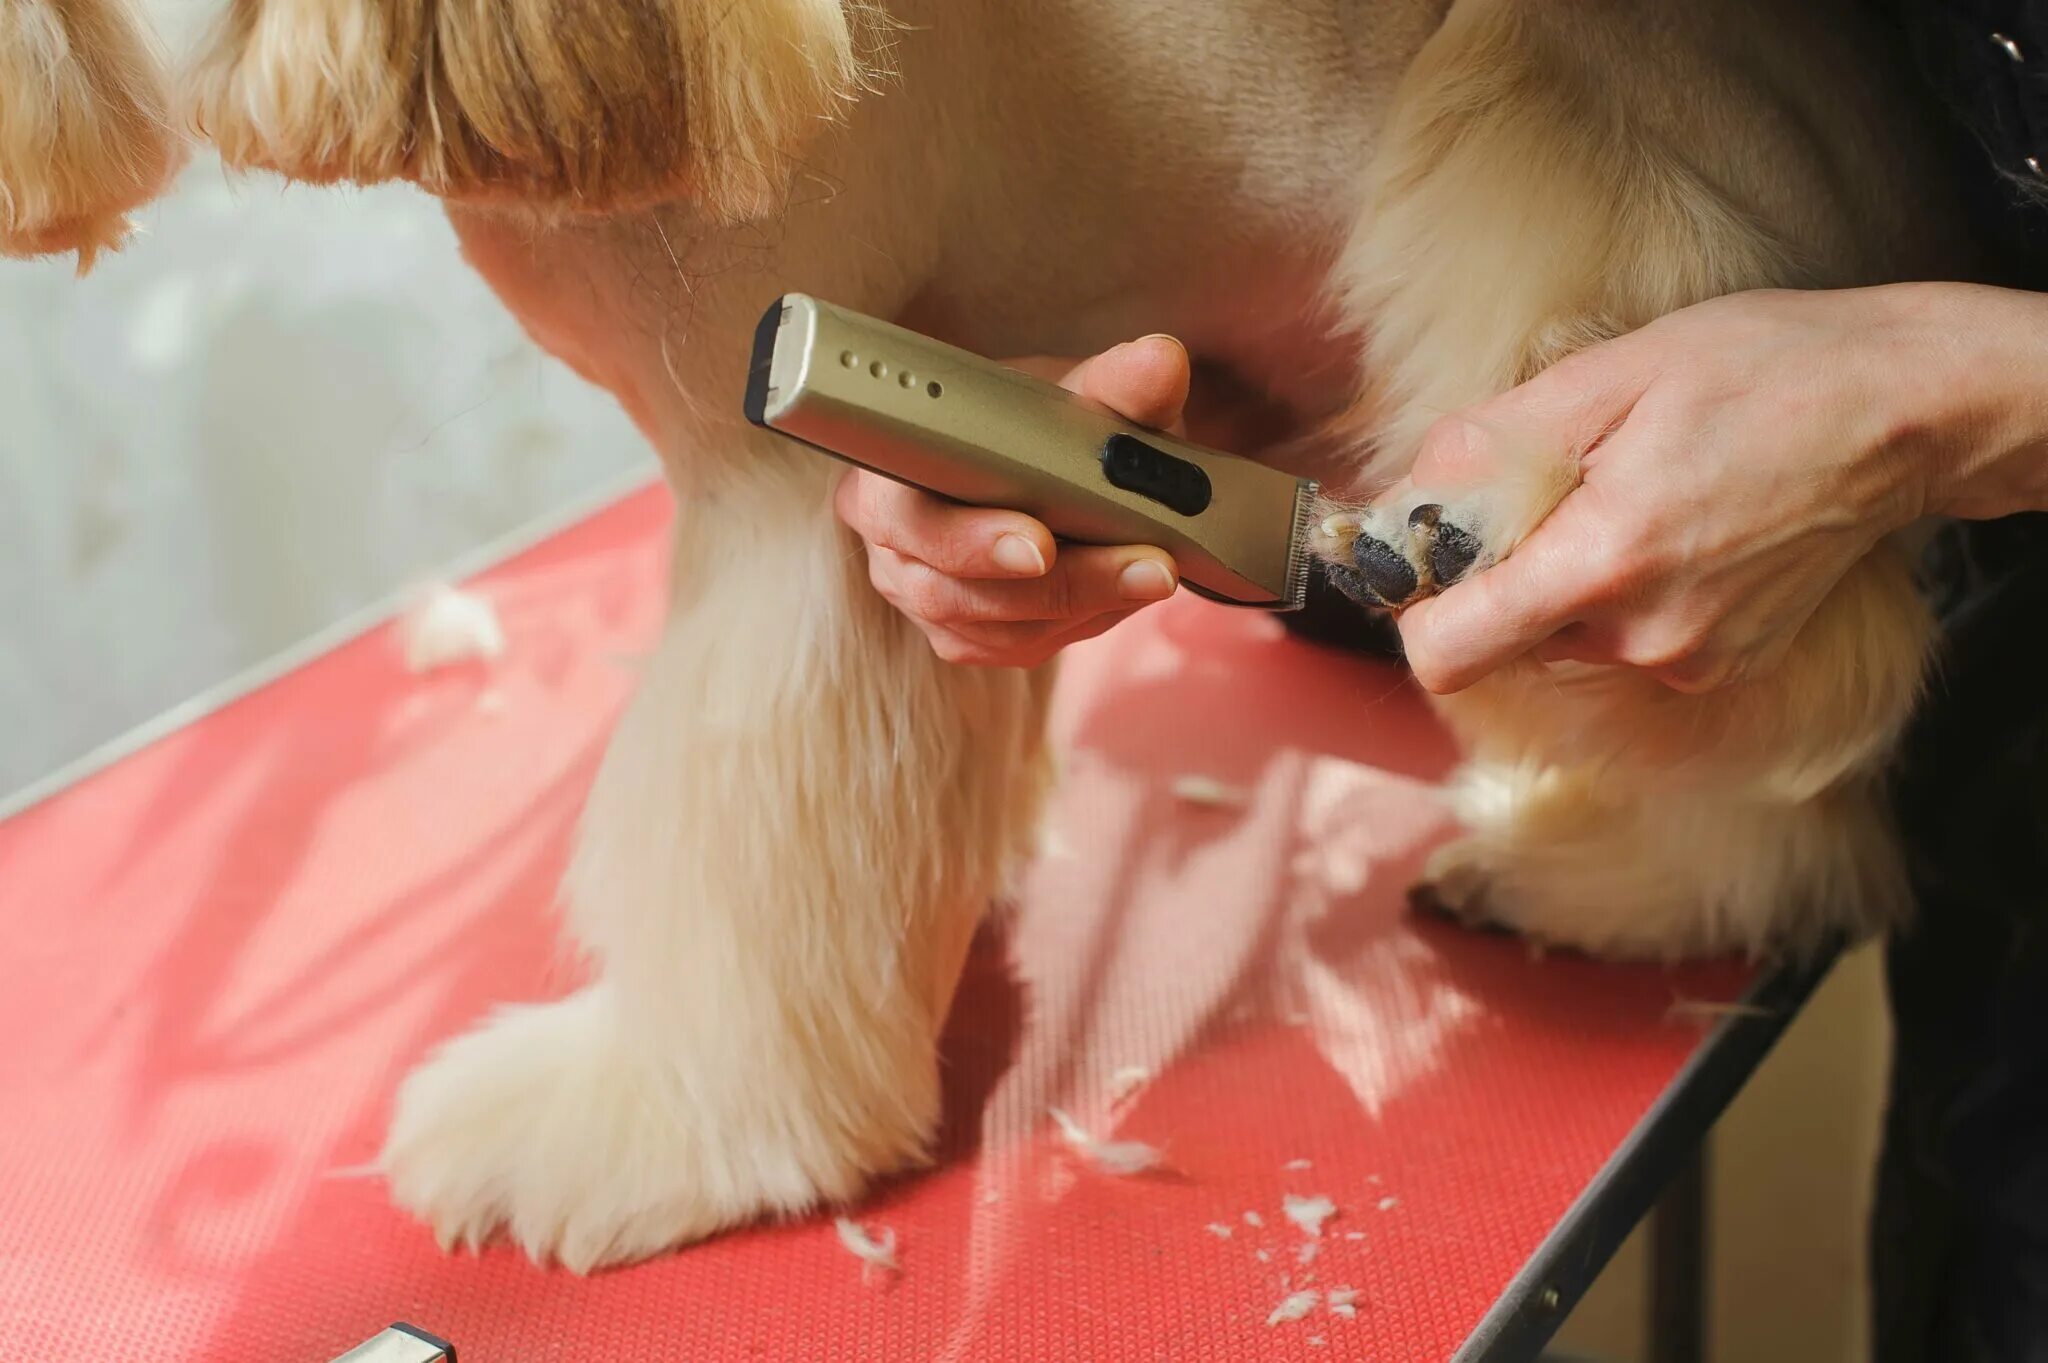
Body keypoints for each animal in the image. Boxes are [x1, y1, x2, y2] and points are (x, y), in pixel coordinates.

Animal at [4, 0, 1982, 1268]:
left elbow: (738, 847)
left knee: (1803, 661)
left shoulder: (774, 501)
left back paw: (1637, 868)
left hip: (1564, 184)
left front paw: (659, 1126)